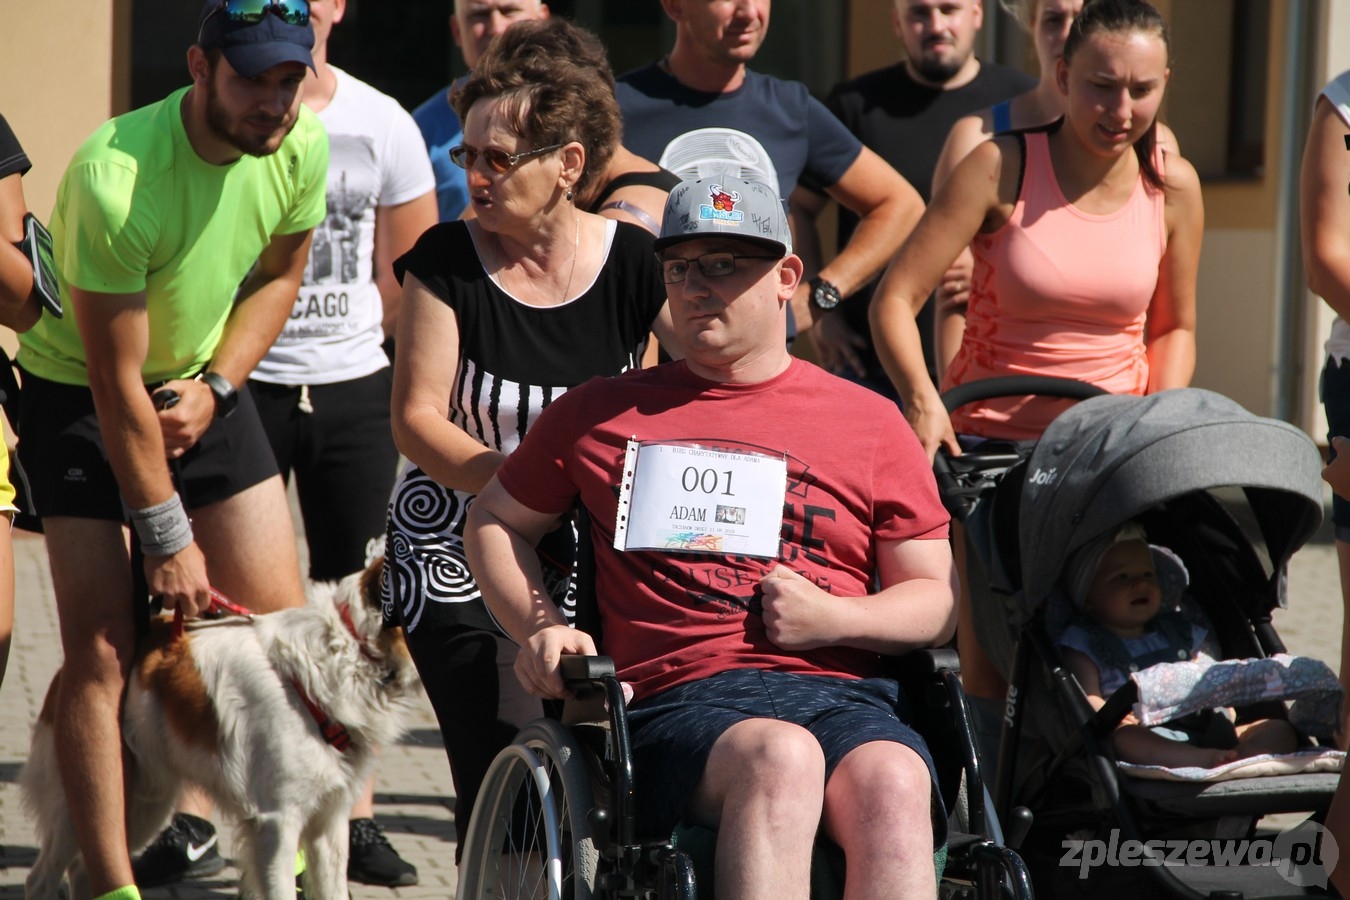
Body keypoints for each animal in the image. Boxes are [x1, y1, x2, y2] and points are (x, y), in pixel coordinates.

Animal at [21, 558, 421, 900]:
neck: (347, 652)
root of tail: (67, 671)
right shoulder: (277, 821)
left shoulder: (330, 820)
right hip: (84, 796)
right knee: (41, 878)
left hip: (141, 802)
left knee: (83, 870)